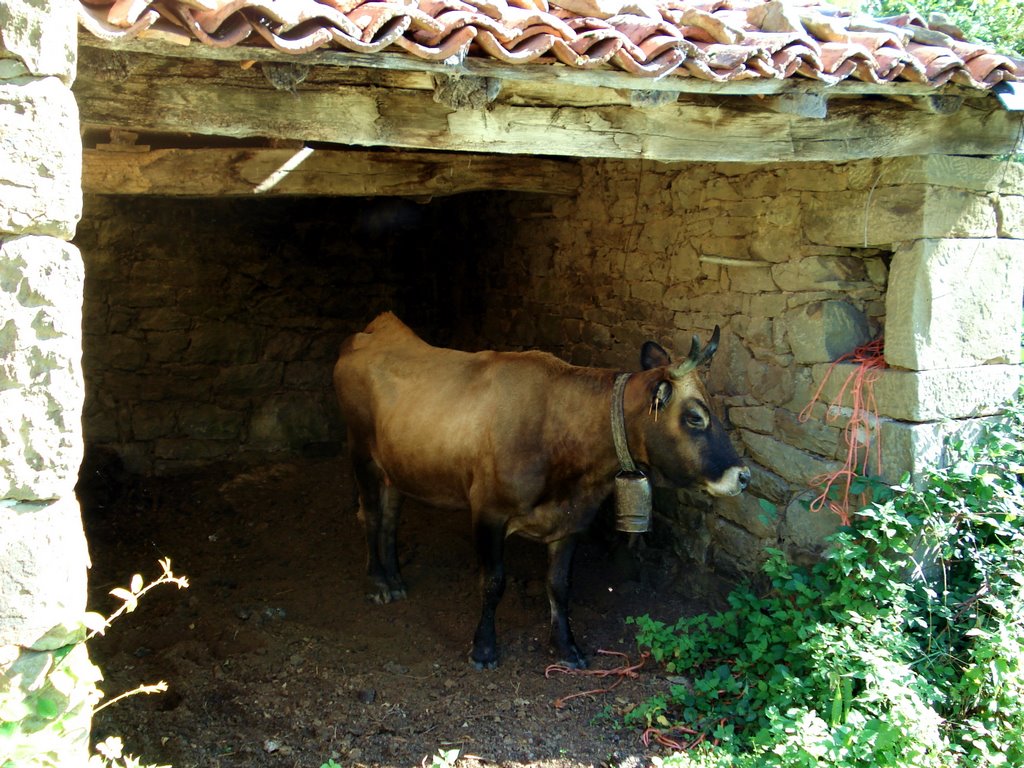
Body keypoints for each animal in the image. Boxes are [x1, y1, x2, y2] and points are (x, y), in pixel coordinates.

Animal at [331, 315, 749, 671]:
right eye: (695, 417)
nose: (743, 475)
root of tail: (378, 328)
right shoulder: (487, 511)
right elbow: (492, 582)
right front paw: (483, 649)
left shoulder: (572, 521)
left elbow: (560, 586)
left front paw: (566, 646)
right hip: (360, 451)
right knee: (371, 514)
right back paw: (379, 583)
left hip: (398, 464)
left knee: (390, 516)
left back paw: (396, 578)